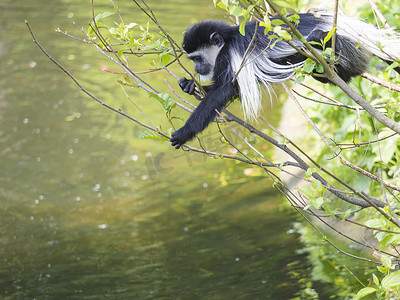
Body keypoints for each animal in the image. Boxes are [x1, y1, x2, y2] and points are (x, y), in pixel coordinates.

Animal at [170, 10, 400, 149]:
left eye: (198, 58)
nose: (196, 68)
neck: (228, 40)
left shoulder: (232, 57)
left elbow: (225, 90)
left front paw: (183, 133)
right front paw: (190, 85)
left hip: (343, 46)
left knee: (320, 39)